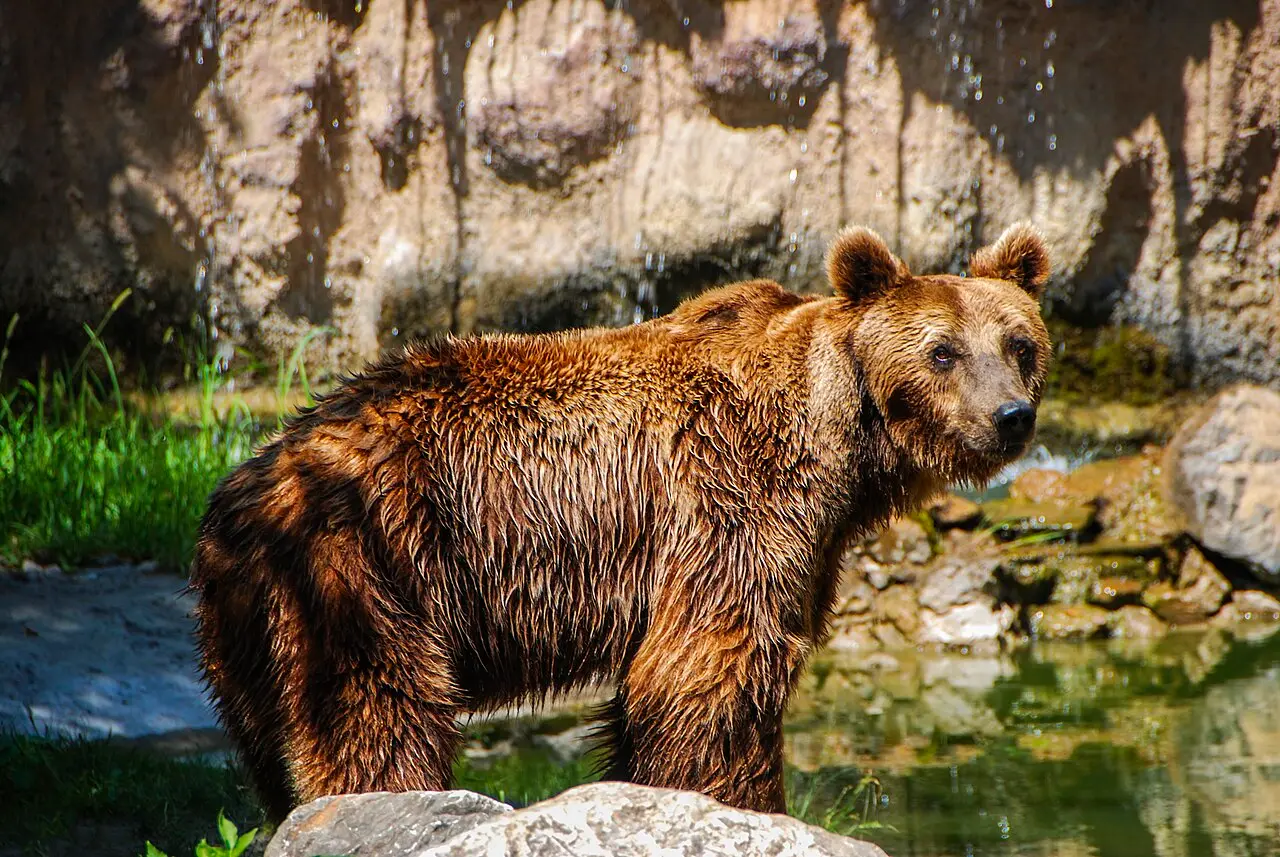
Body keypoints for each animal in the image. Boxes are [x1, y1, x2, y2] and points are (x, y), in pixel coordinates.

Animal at [190, 223, 1051, 821]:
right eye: (942, 351)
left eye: (1019, 343)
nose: (1010, 416)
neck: (839, 438)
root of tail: (244, 491)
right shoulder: (732, 501)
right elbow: (712, 669)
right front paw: (745, 800)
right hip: (363, 569)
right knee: (375, 718)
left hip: (249, 636)